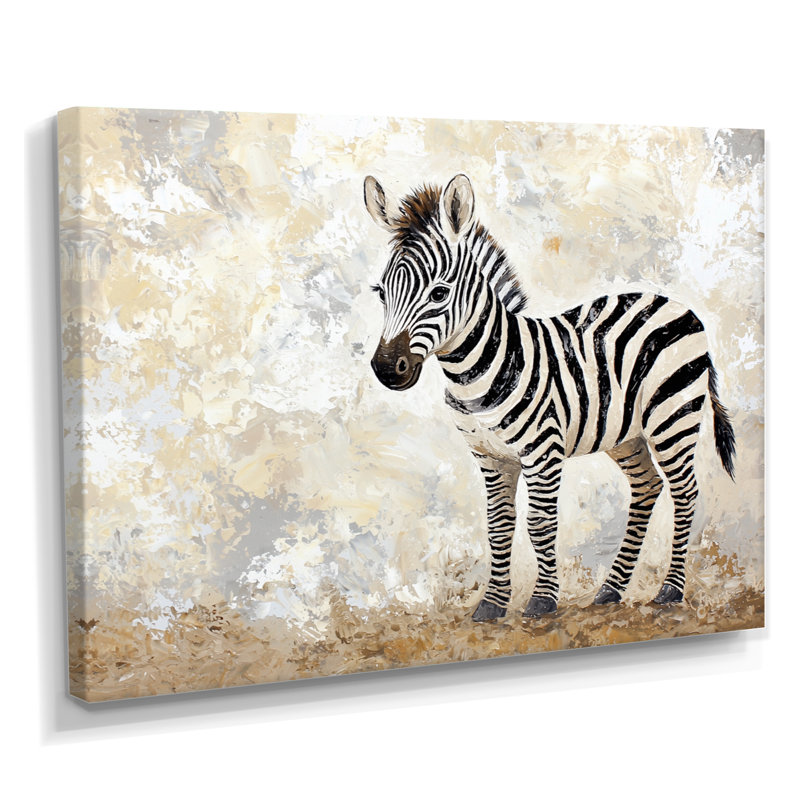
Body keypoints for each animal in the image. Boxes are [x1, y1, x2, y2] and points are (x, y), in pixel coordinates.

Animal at [364, 173, 735, 622]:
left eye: (439, 293)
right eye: (381, 292)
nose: (387, 368)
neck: (480, 372)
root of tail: (675, 304)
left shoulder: (543, 450)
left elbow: (540, 524)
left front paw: (542, 599)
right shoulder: (489, 456)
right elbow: (499, 525)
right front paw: (492, 603)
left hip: (673, 417)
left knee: (685, 492)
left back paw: (670, 590)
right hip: (626, 433)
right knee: (647, 487)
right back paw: (610, 589)